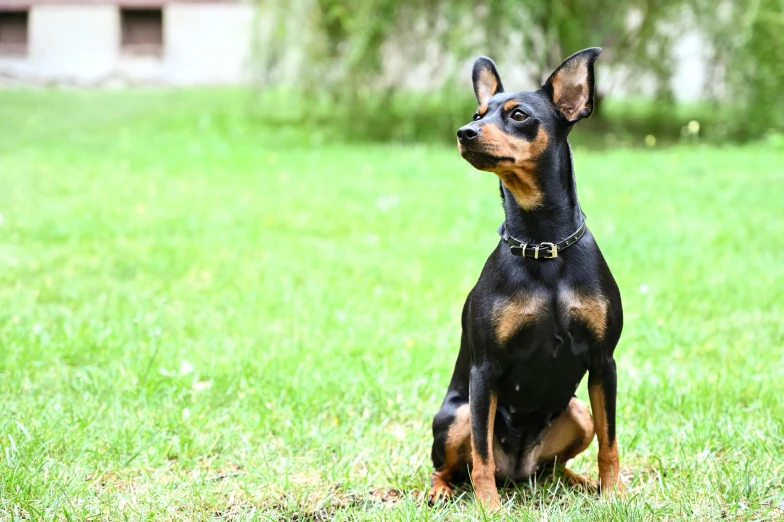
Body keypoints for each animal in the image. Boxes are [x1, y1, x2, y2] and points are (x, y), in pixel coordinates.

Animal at [428, 46, 624, 506]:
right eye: (477, 113)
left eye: (518, 115)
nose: (465, 132)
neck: (542, 244)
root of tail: (517, 471)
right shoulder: (485, 370)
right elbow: (481, 455)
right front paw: (488, 509)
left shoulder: (604, 362)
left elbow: (610, 443)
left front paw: (615, 495)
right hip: (456, 415)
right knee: (454, 465)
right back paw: (443, 490)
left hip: (577, 412)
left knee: (554, 466)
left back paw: (581, 482)